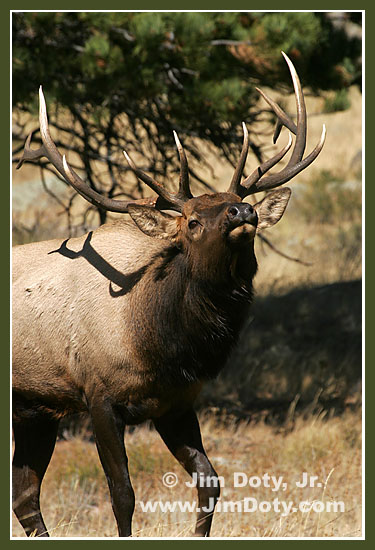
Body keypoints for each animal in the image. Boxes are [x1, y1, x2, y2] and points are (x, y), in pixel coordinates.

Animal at [11, 55, 326, 540]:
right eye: (193, 221)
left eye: (242, 203)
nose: (243, 211)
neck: (159, 342)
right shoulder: (98, 395)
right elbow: (122, 494)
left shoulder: (176, 402)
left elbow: (210, 480)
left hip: (34, 408)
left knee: (24, 494)